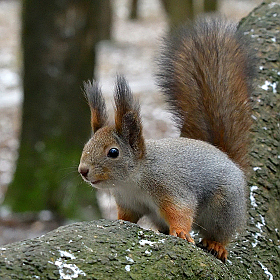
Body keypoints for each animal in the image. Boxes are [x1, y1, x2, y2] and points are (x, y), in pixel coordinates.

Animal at [77, 17, 255, 262]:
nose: (83, 170)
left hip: (225, 207)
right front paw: (118, 222)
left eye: (113, 152)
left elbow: (181, 210)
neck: (134, 178)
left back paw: (216, 244)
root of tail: (228, 159)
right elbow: (127, 217)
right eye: (86, 145)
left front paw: (180, 232)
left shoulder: (171, 188)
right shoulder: (128, 202)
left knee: (221, 231)